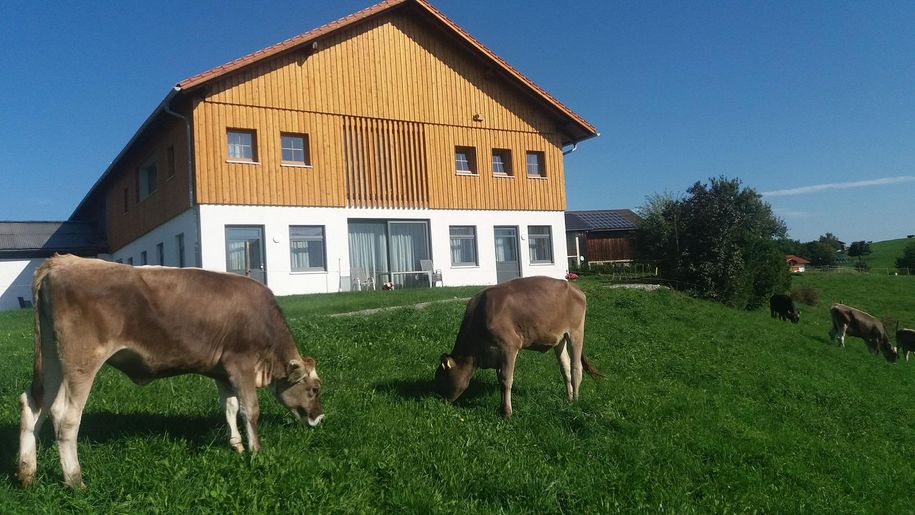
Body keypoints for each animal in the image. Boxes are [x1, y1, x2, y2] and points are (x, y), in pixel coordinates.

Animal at [17, 256, 326, 490]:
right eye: (314, 389)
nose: (320, 418)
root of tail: (61, 261)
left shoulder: (224, 372)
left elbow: (229, 407)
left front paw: (236, 446)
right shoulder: (242, 365)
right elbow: (249, 409)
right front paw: (257, 452)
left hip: (53, 360)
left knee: (34, 405)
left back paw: (26, 473)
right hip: (81, 362)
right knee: (66, 417)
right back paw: (75, 480)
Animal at [434, 276, 604, 418]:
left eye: (440, 377)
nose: (438, 399)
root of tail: (575, 287)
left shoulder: (509, 346)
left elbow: (506, 379)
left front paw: (506, 412)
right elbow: (500, 380)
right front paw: (501, 407)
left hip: (575, 332)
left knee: (576, 368)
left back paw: (575, 400)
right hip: (559, 338)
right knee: (565, 367)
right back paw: (568, 398)